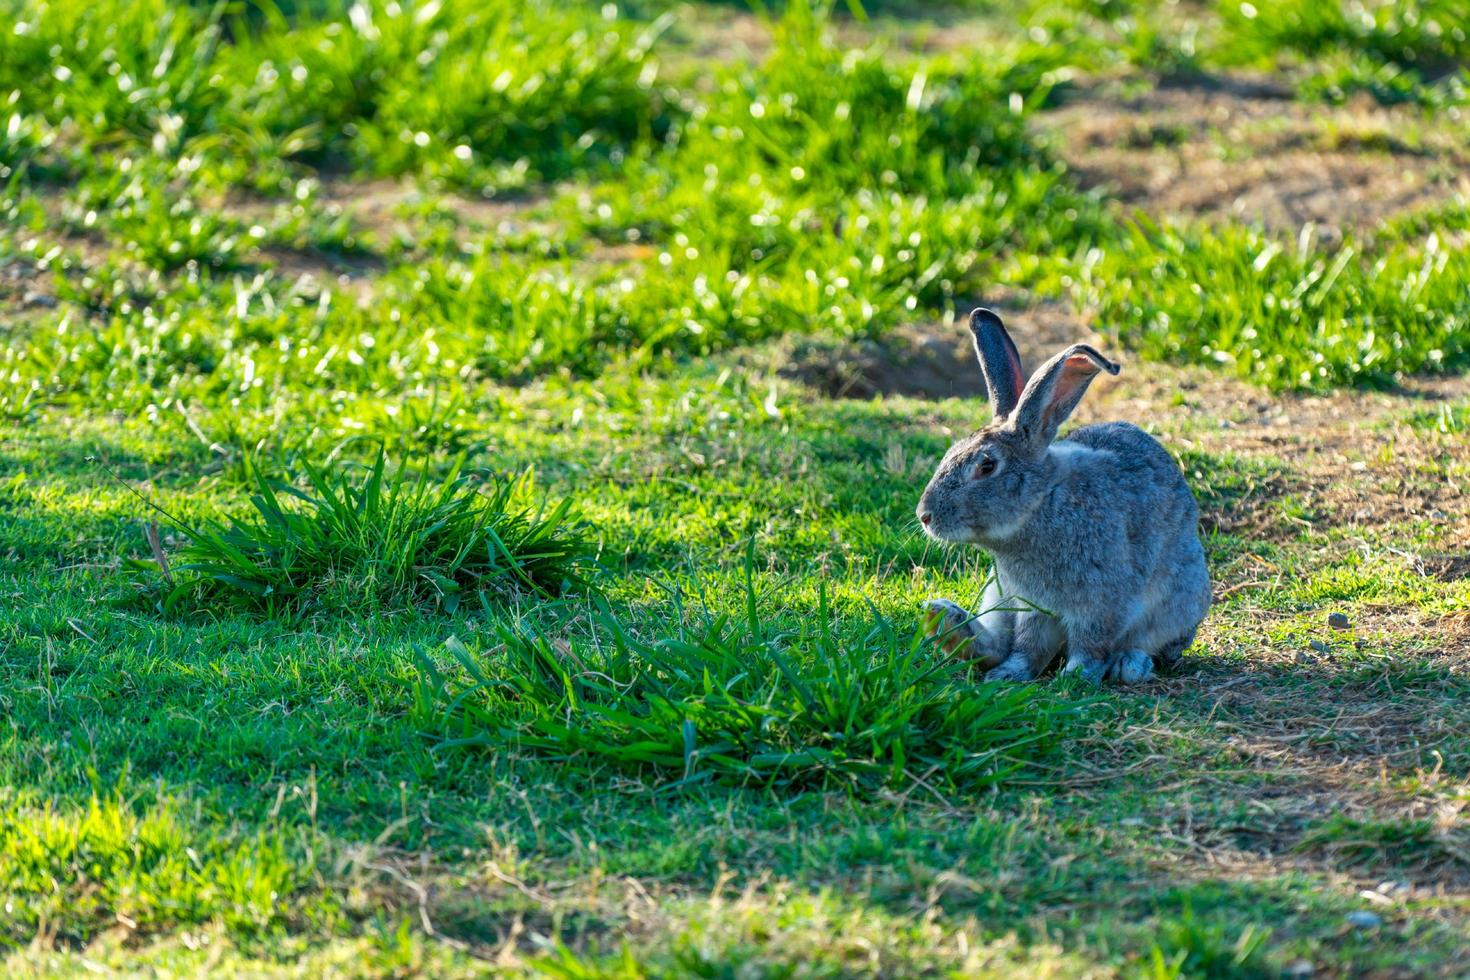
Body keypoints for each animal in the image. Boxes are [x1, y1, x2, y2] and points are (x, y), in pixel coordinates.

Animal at [911, 307, 1211, 681]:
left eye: (987, 466)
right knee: (997, 642)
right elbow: (1028, 645)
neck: (1042, 501)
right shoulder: (1031, 606)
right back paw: (945, 620)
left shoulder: (1102, 602)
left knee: (1149, 642)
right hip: (997, 594)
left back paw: (1130, 664)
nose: (925, 515)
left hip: (1179, 600)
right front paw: (1010, 674)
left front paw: (1078, 675)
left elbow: (1090, 643)